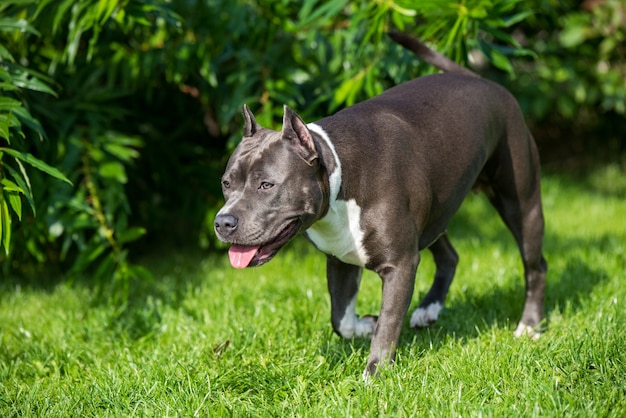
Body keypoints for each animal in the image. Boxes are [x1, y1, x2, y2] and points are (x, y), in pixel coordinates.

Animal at [212, 31, 544, 378]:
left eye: (266, 185)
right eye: (226, 183)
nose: (223, 222)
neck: (339, 173)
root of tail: (481, 80)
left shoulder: (400, 264)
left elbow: (389, 322)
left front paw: (374, 374)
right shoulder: (341, 259)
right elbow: (341, 318)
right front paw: (365, 326)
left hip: (520, 203)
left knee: (536, 266)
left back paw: (530, 325)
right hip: (433, 215)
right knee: (449, 256)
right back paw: (429, 308)